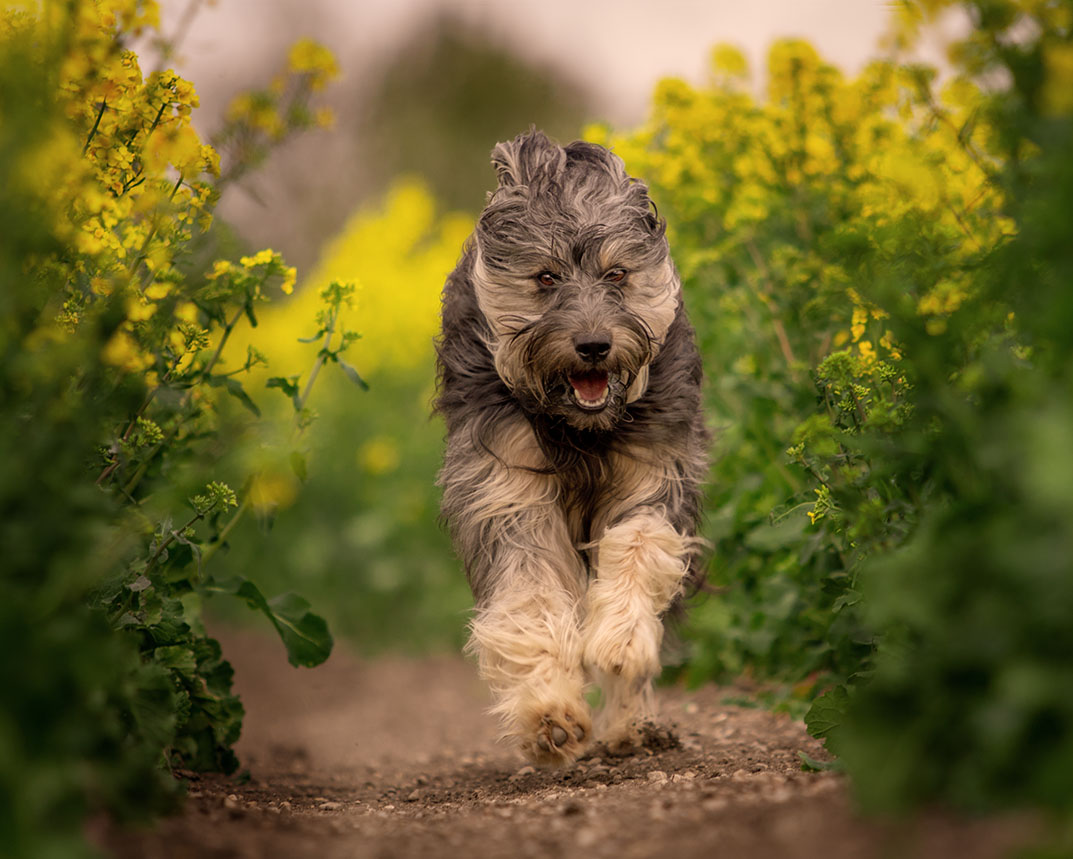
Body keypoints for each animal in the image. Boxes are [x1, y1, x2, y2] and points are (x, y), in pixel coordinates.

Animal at [431, 129, 708, 763]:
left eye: (617, 275)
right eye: (546, 277)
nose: (594, 345)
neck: (579, 428)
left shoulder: (654, 470)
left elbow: (639, 545)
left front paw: (620, 643)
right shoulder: (507, 485)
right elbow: (529, 593)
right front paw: (549, 715)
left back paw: (631, 725)